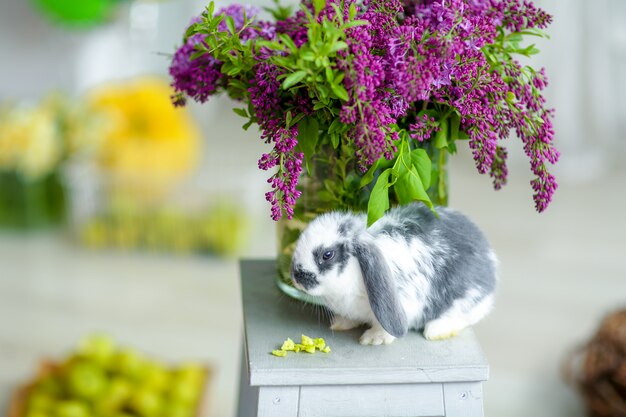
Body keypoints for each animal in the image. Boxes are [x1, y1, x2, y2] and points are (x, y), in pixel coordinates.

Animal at [288, 202, 498, 344]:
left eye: (327, 255)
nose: (296, 276)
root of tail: (491, 260)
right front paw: (340, 323)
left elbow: (384, 328)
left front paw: (374, 338)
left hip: (466, 298)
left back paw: (437, 330)